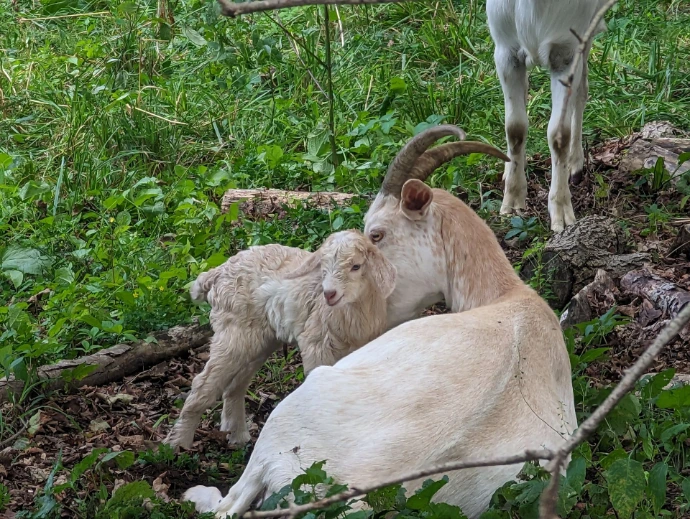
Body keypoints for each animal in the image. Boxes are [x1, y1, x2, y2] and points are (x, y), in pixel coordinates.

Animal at [164, 229, 396, 450]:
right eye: (323, 267)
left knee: (235, 385)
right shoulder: (317, 345)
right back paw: (177, 444)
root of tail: (217, 272)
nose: (329, 293)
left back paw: (237, 436)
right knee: (203, 383)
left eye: (356, 266)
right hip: (233, 332)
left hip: (259, 339)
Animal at [487, 0, 607, 232]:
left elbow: (559, 135)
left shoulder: (567, 52)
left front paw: (562, 214)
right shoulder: (505, 51)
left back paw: (575, 163)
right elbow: (515, 127)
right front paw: (512, 203)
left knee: (582, 91)